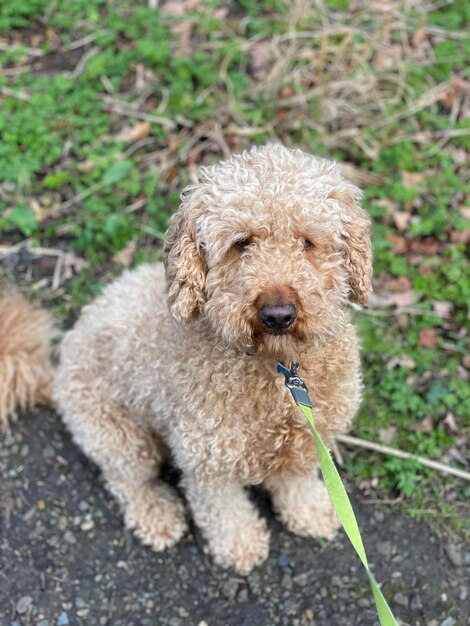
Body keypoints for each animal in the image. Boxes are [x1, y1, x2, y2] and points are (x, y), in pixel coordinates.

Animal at [0, 144, 370, 572]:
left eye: (308, 241)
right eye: (241, 243)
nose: (278, 314)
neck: (279, 373)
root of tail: (57, 371)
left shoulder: (309, 437)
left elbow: (296, 481)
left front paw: (310, 511)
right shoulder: (206, 458)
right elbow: (223, 511)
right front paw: (240, 545)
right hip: (114, 433)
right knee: (126, 479)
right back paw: (156, 514)